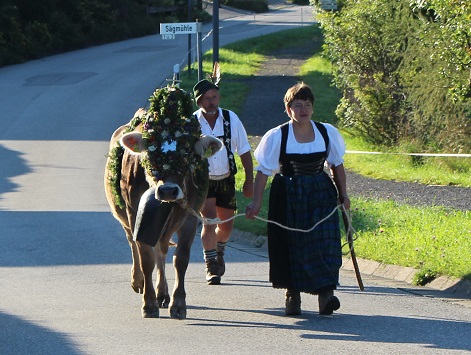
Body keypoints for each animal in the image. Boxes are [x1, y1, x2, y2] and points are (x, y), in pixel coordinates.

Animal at [105, 85, 223, 320]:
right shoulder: (135, 214)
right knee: (135, 245)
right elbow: (146, 258)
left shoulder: (190, 217)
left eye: (187, 153)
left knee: (161, 249)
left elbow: (180, 259)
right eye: (151, 152)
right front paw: (148, 303)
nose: (168, 190)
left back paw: (162, 293)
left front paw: (178, 304)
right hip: (126, 219)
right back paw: (139, 282)